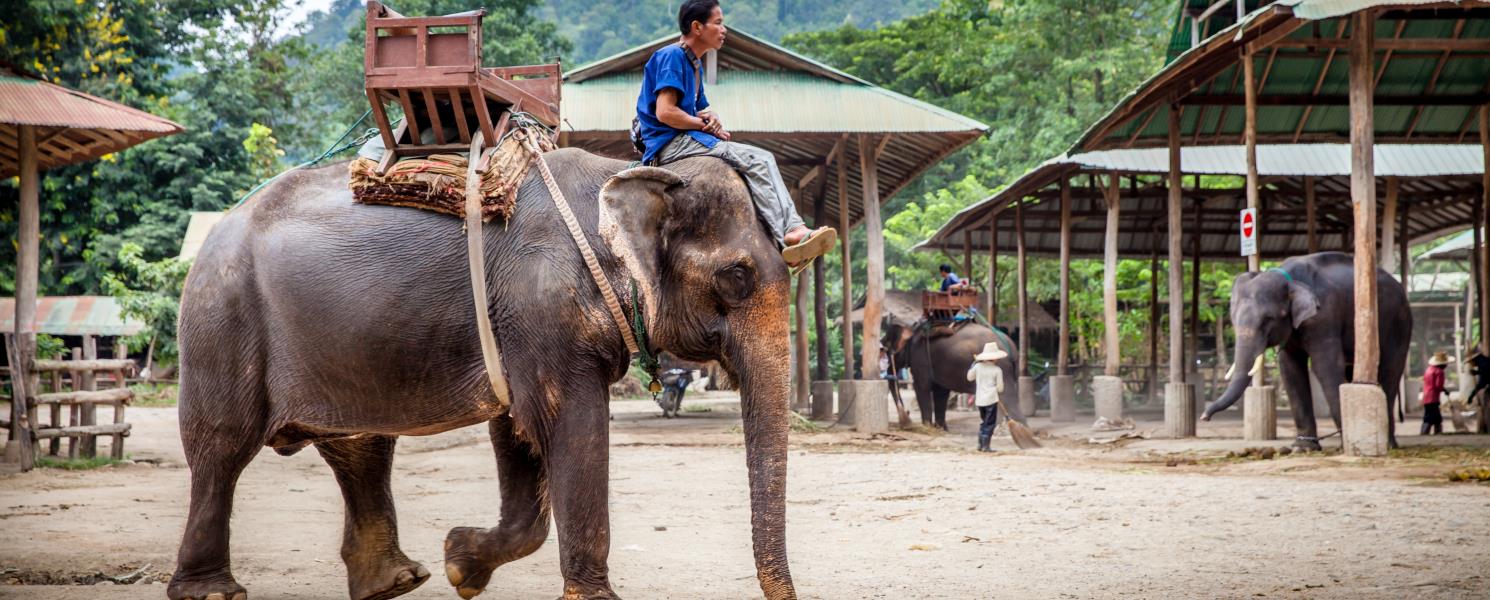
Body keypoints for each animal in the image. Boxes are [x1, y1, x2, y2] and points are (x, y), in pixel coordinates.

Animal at [167, 152, 798, 600]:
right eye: (737, 275)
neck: (620, 176)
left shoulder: (519, 327)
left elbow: (519, 431)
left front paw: (460, 564)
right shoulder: (539, 308)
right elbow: (569, 425)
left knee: (360, 447)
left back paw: (397, 582)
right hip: (221, 318)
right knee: (221, 446)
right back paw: (212, 593)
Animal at [882, 320, 1025, 431]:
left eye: (885, 349)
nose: (906, 413)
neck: (912, 328)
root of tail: (1012, 349)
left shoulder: (921, 359)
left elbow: (922, 388)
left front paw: (927, 427)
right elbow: (941, 392)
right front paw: (941, 429)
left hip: (1001, 368)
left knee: (1006, 397)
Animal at [1192, 253, 1412, 452]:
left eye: (1268, 319)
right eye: (1233, 318)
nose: (1204, 417)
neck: (1289, 278)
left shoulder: (1324, 317)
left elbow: (1325, 366)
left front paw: (1346, 446)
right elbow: (1290, 370)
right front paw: (1303, 448)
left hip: (1400, 324)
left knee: (1390, 372)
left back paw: (1389, 444)